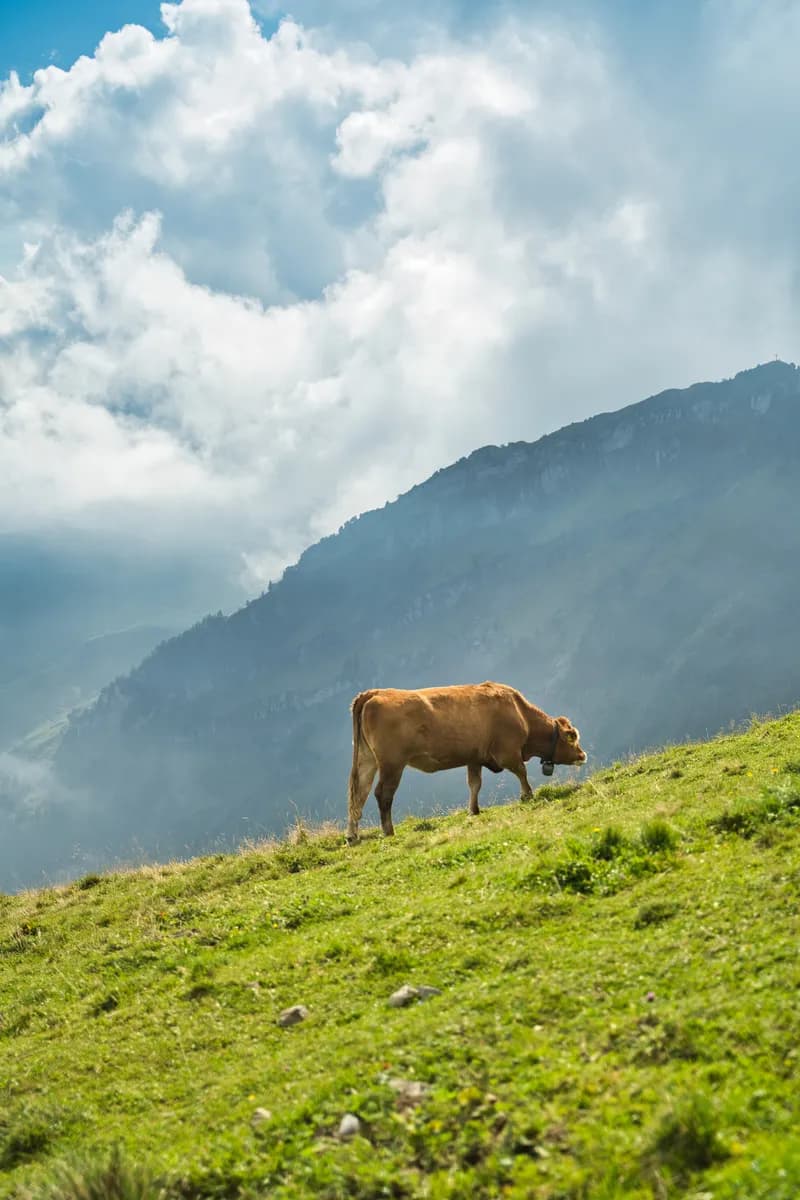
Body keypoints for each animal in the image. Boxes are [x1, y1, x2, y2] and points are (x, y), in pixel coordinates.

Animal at [346, 681, 587, 843]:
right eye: (572, 736)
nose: (583, 755)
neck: (520, 712)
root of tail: (374, 693)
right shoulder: (507, 752)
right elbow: (521, 771)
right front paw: (527, 795)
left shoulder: (475, 758)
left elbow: (474, 784)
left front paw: (474, 810)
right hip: (392, 763)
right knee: (382, 793)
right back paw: (388, 831)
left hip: (367, 760)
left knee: (358, 794)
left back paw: (352, 836)